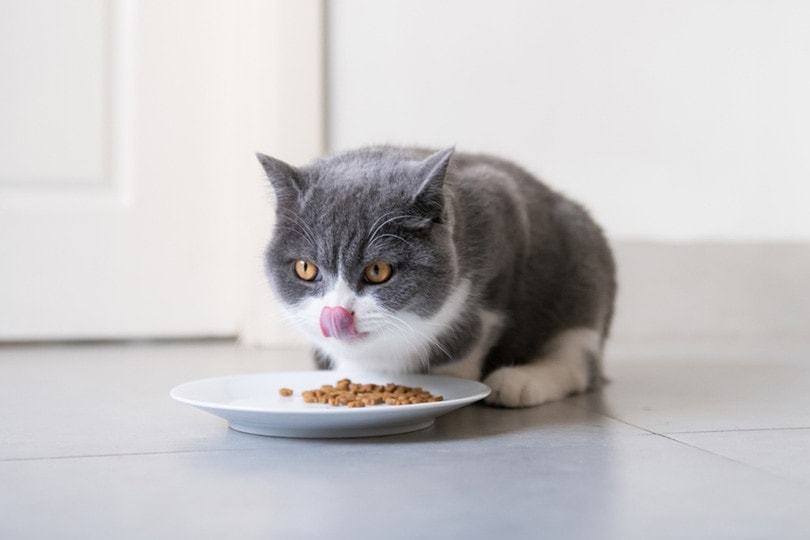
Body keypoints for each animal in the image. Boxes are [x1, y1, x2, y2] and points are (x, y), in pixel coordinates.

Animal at [256, 146, 616, 408]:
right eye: (306, 269)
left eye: (378, 270)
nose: (336, 314)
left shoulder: (502, 211)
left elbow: (473, 332)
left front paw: (454, 380)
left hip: (583, 270)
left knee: (578, 360)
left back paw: (519, 383)